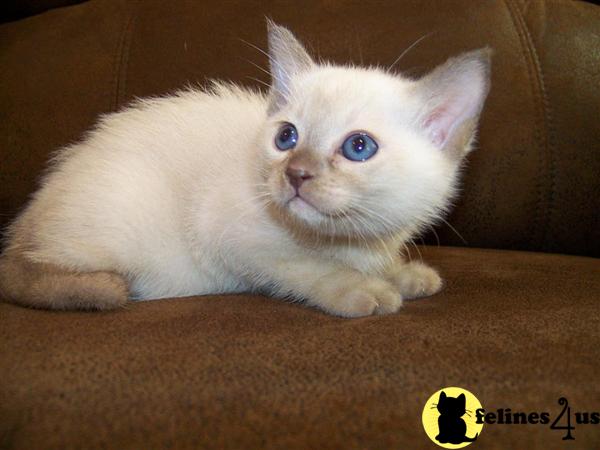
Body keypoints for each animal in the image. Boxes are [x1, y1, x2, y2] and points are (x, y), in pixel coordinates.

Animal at [0, 21, 490, 316]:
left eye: (358, 147)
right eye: (286, 138)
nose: (296, 175)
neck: (343, 239)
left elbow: (377, 260)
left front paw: (403, 274)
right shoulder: (232, 238)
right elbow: (308, 267)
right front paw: (364, 289)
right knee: (27, 274)